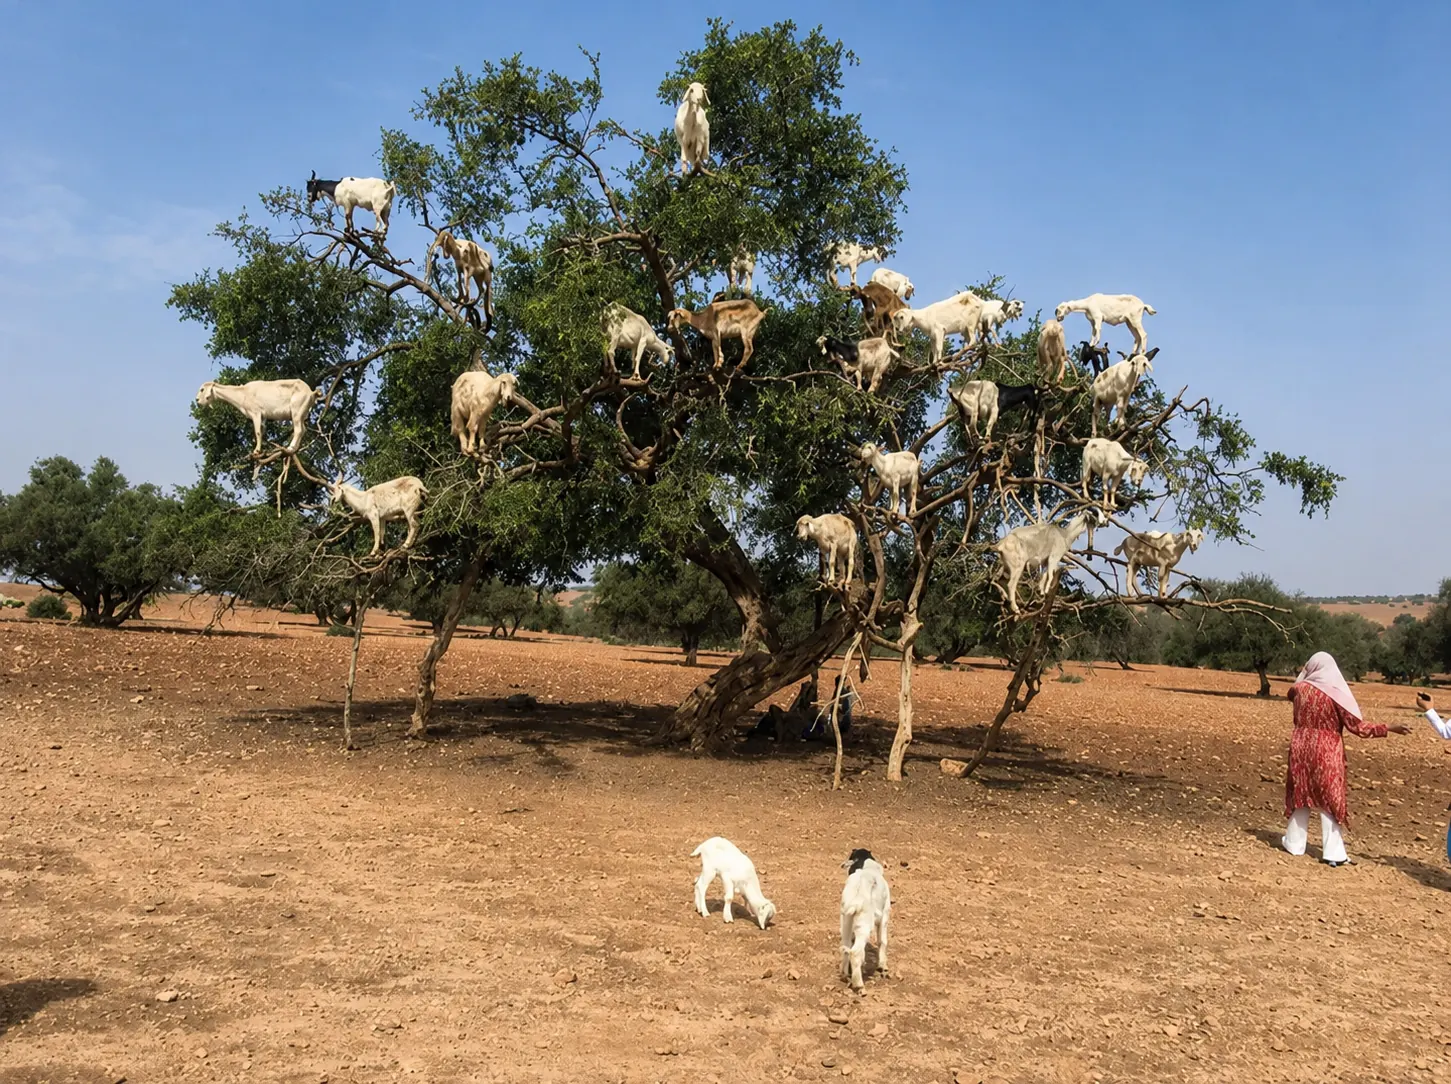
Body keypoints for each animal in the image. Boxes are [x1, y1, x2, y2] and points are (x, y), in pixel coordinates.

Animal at [839, 848, 891, 992]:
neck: (868, 868)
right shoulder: (885, 914)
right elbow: (882, 941)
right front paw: (883, 967)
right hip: (864, 926)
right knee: (856, 952)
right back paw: (859, 986)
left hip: (846, 922)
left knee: (846, 947)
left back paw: (845, 974)